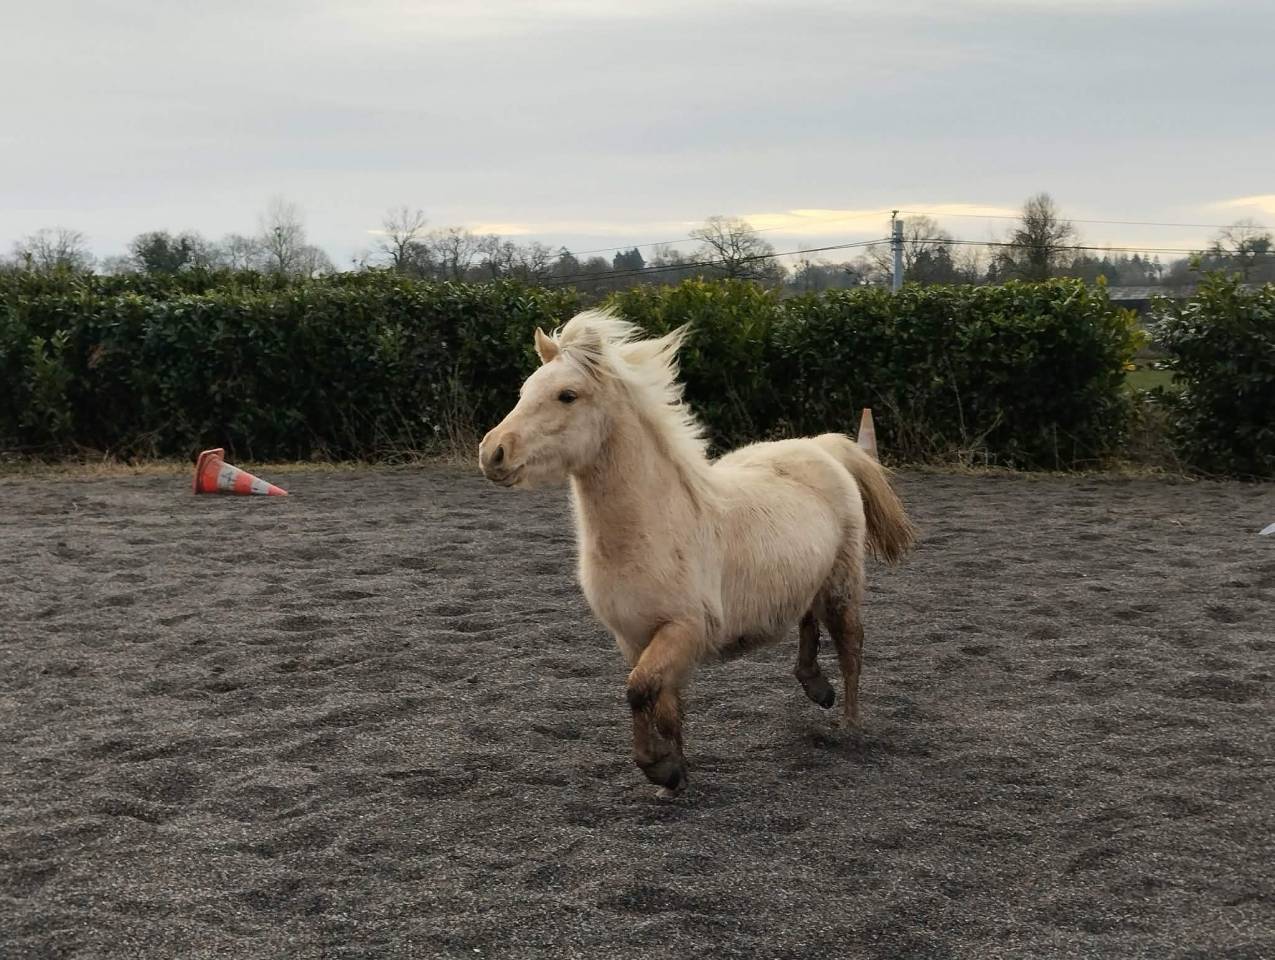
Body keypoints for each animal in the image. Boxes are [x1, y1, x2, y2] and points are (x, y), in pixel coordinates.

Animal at [479, 308, 917, 796]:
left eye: (567, 395)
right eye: (524, 391)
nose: (493, 453)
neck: (654, 528)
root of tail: (821, 446)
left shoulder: (684, 629)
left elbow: (639, 690)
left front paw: (660, 767)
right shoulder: (635, 638)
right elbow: (662, 703)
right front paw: (673, 773)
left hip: (842, 585)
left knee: (850, 646)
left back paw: (849, 726)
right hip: (805, 575)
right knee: (807, 618)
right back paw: (815, 687)